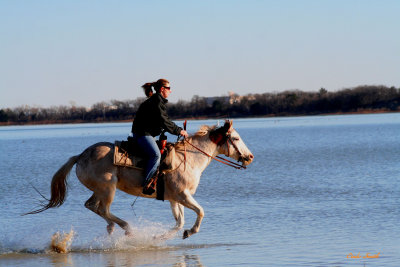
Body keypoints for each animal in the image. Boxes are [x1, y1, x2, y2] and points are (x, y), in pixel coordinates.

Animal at [26, 120, 253, 240]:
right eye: (236, 138)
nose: (249, 157)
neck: (188, 159)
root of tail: (80, 156)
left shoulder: (174, 199)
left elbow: (179, 222)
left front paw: (160, 238)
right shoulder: (183, 195)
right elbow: (201, 211)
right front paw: (191, 231)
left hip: (99, 190)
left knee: (92, 206)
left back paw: (112, 227)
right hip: (108, 189)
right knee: (103, 209)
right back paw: (126, 227)